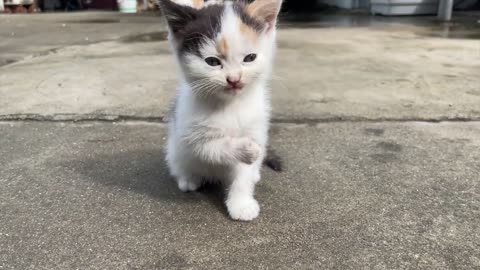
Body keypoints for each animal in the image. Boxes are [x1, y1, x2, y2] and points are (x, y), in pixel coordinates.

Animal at [161, 0, 282, 220]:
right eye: (212, 61)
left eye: (250, 58)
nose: (234, 79)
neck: (230, 105)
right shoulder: (187, 133)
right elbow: (211, 147)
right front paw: (247, 149)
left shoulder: (256, 125)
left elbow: (243, 174)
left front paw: (241, 205)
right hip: (175, 150)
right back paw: (188, 179)